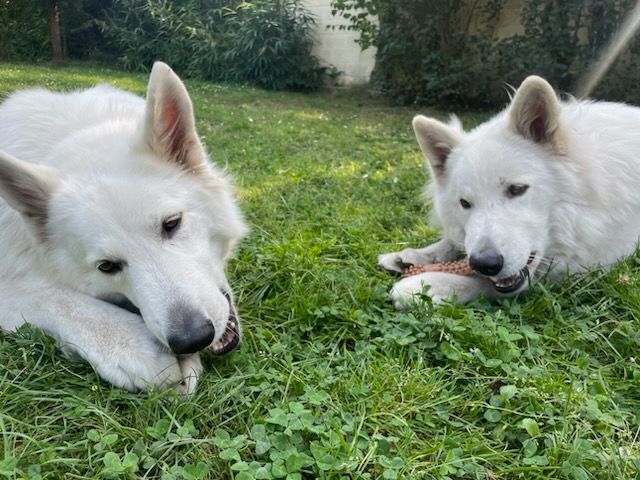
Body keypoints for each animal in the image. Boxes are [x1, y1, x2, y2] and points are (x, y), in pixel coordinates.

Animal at [382, 75, 640, 308]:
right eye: (465, 203)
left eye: (517, 189)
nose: (485, 263)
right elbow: (452, 243)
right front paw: (412, 255)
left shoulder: (592, 261)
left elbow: (486, 282)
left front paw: (428, 285)